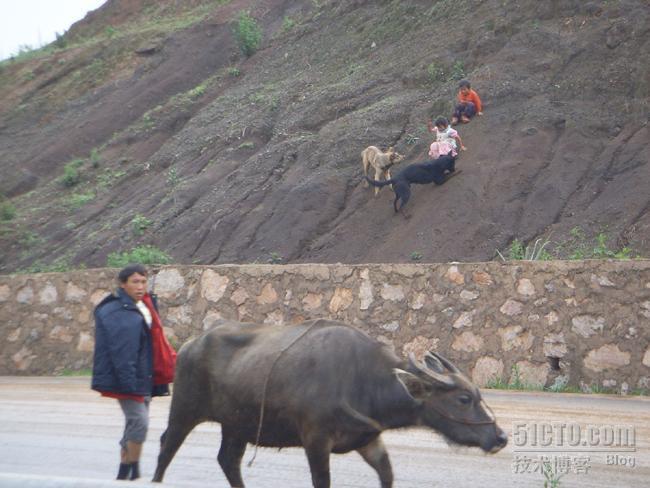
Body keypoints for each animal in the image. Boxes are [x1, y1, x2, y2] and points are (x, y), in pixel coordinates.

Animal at [153, 318, 506, 486]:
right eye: (464, 398)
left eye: (478, 394)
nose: (500, 437)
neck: (361, 379)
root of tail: (190, 345)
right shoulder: (316, 440)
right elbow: (322, 481)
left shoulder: (369, 440)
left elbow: (387, 475)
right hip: (184, 411)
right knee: (166, 448)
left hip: (236, 426)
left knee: (228, 460)